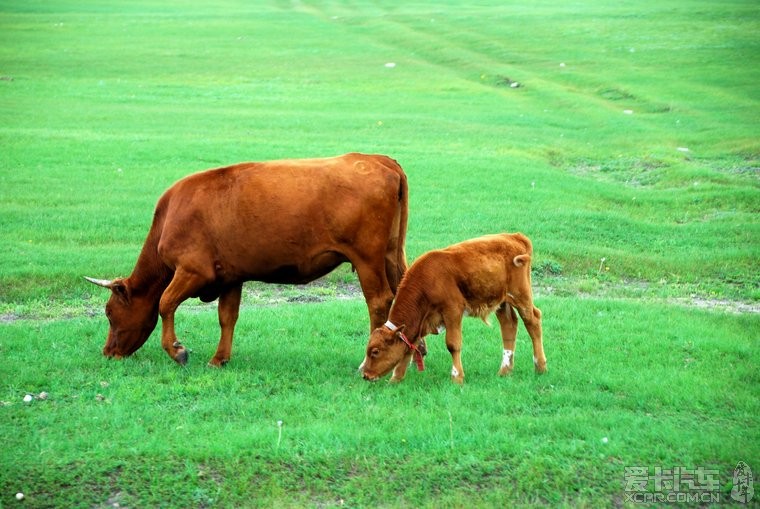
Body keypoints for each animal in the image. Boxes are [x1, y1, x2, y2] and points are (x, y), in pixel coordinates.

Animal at [84, 152, 410, 366]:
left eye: (109, 313)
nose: (107, 352)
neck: (171, 216)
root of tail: (379, 159)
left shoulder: (193, 270)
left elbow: (165, 302)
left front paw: (178, 350)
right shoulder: (231, 276)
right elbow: (227, 316)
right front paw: (219, 359)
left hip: (367, 259)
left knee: (378, 300)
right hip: (392, 254)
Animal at [360, 232, 548, 382]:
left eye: (375, 351)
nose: (366, 375)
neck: (427, 279)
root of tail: (514, 236)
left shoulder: (453, 311)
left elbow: (453, 344)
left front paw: (457, 377)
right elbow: (409, 348)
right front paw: (395, 379)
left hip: (521, 295)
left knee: (533, 321)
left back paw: (540, 366)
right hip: (501, 301)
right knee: (509, 325)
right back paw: (505, 370)